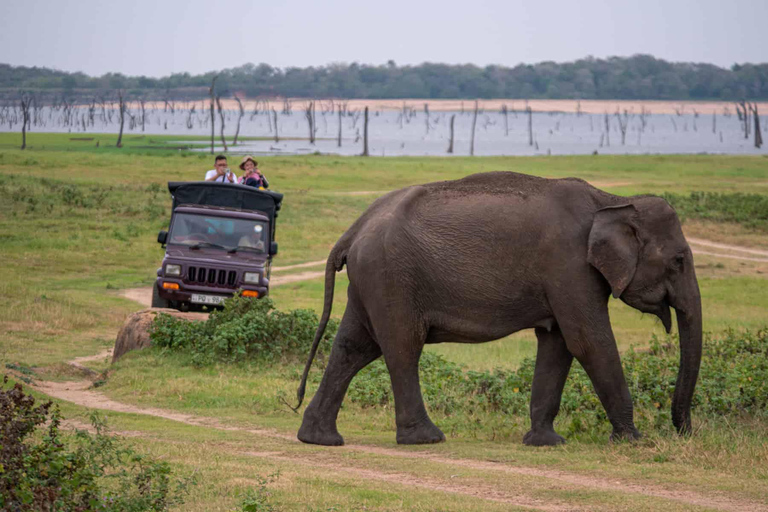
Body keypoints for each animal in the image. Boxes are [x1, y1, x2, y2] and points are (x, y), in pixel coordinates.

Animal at [294, 171, 704, 444]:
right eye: (680, 260)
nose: (684, 432)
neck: (611, 200)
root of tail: (353, 228)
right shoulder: (569, 266)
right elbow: (589, 341)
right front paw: (633, 440)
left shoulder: (565, 278)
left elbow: (558, 343)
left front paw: (545, 442)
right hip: (391, 275)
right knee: (401, 348)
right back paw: (426, 438)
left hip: (371, 278)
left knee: (354, 347)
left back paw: (319, 438)